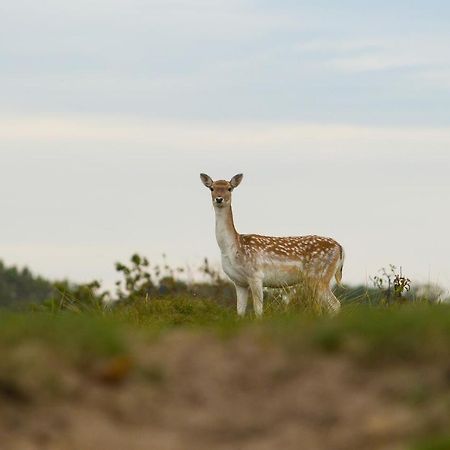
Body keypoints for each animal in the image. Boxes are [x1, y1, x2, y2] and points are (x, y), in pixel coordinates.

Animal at [200, 172, 344, 316]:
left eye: (229, 188)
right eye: (212, 188)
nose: (219, 199)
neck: (232, 248)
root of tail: (340, 248)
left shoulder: (256, 275)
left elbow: (258, 311)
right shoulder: (239, 282)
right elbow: (240, 313)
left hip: (319, 276)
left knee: (335, 304)